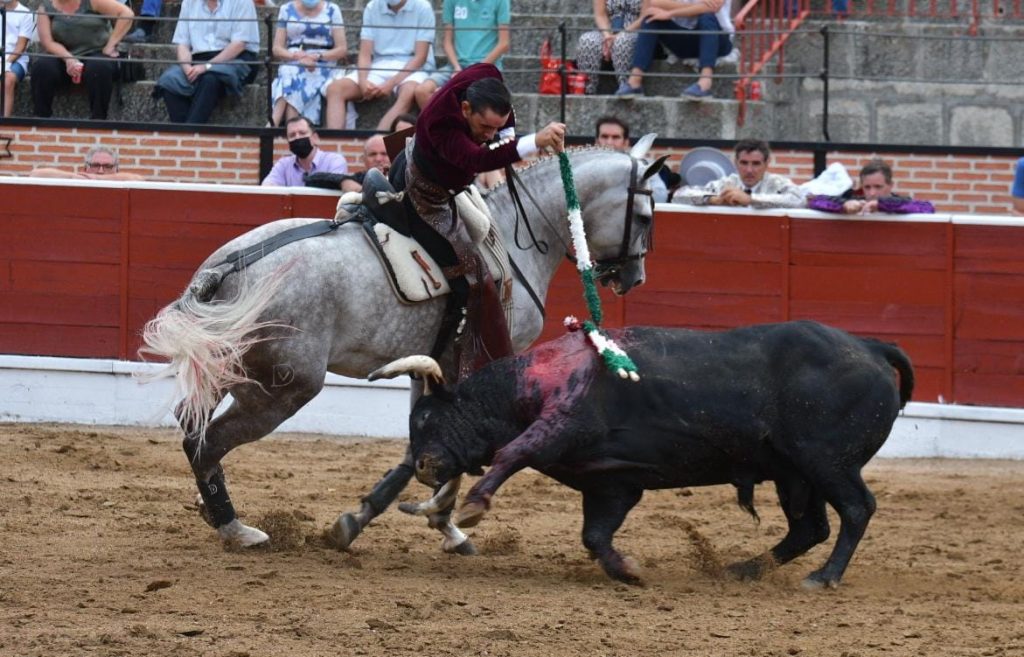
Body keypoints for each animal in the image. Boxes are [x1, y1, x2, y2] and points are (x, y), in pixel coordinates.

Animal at [142, 139, 663, 552]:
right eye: (644, 215)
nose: (635, 278)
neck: (514, 240)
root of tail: (228, 268)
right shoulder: (474, 367)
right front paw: (406, 520)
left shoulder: (429, 365)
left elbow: (424, 443)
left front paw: (436, 524)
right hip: (282, 390)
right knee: (209, 441)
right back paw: (235, 528)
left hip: (224, 367)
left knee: (193, 427)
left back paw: (212, 507)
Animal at [372, 319, 917, 585]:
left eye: (425, 419)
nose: (423, 467)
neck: (521, 387)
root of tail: (870, 347)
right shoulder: (610, 483)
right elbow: (594, 535)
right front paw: (628, 572)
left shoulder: (561, 425)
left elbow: (512, 453)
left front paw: (474, 505)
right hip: (794, 474)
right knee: (810, 527)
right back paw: (744, 570)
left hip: (826, 462)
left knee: (856, 509)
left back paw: (824, 577)